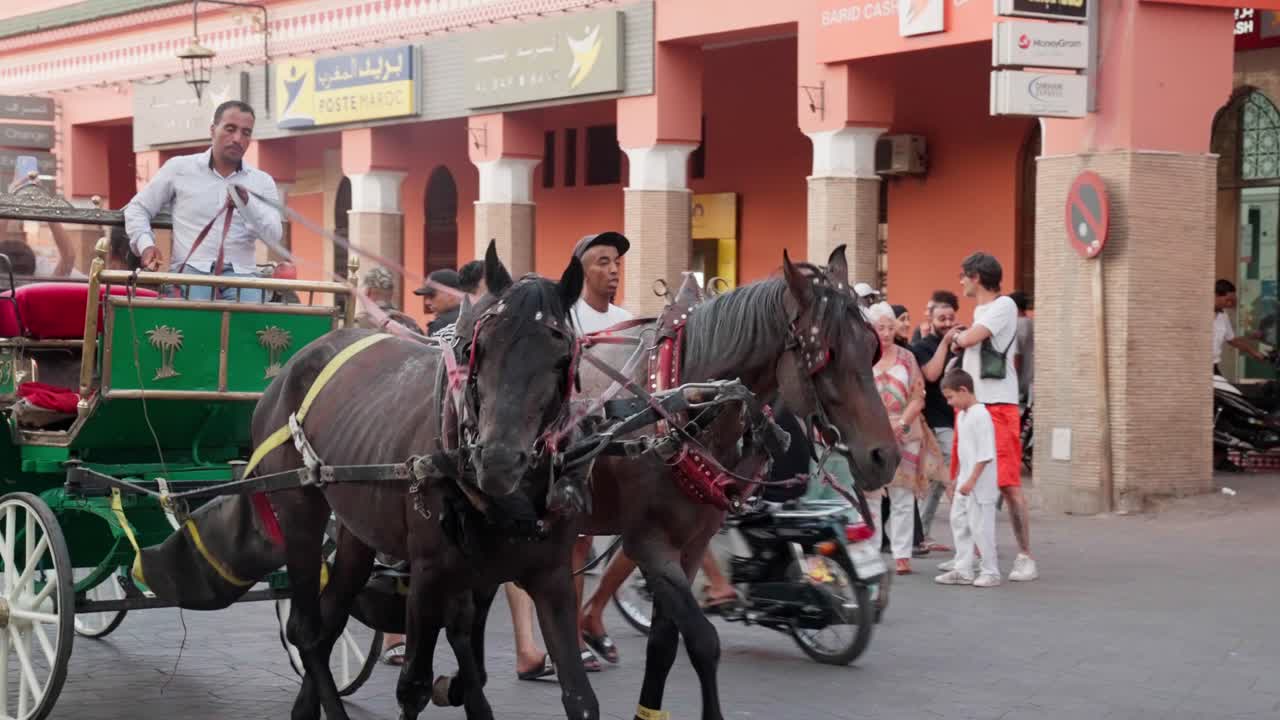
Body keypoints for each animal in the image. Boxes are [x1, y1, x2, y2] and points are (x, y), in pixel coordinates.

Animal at [248, 244, 599, 720]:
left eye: (562, 360)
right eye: (478, 348)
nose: (498, 461)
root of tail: (297, 363)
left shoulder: (548, 575)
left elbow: (575, 695)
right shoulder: (430, 574)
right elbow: (413, 684)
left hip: (357, 527)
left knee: (329, 620)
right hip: (298, 511)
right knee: (305, 627)